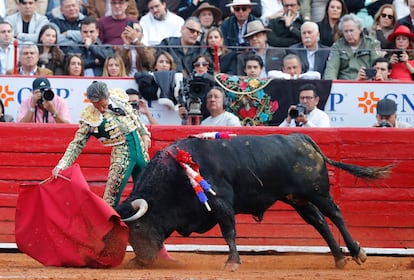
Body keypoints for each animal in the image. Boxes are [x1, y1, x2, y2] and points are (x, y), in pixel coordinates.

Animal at [116, 135, 392, 270]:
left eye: (137, 226)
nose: (143, 261)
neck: (177, 174)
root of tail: (302, 138)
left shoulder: (221, 202)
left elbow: (229, 231)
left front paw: (232, 262)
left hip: (317, 192)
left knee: (335, 214)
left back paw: (357, 252)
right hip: (297, 199)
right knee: (319, 221)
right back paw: (338, 258)